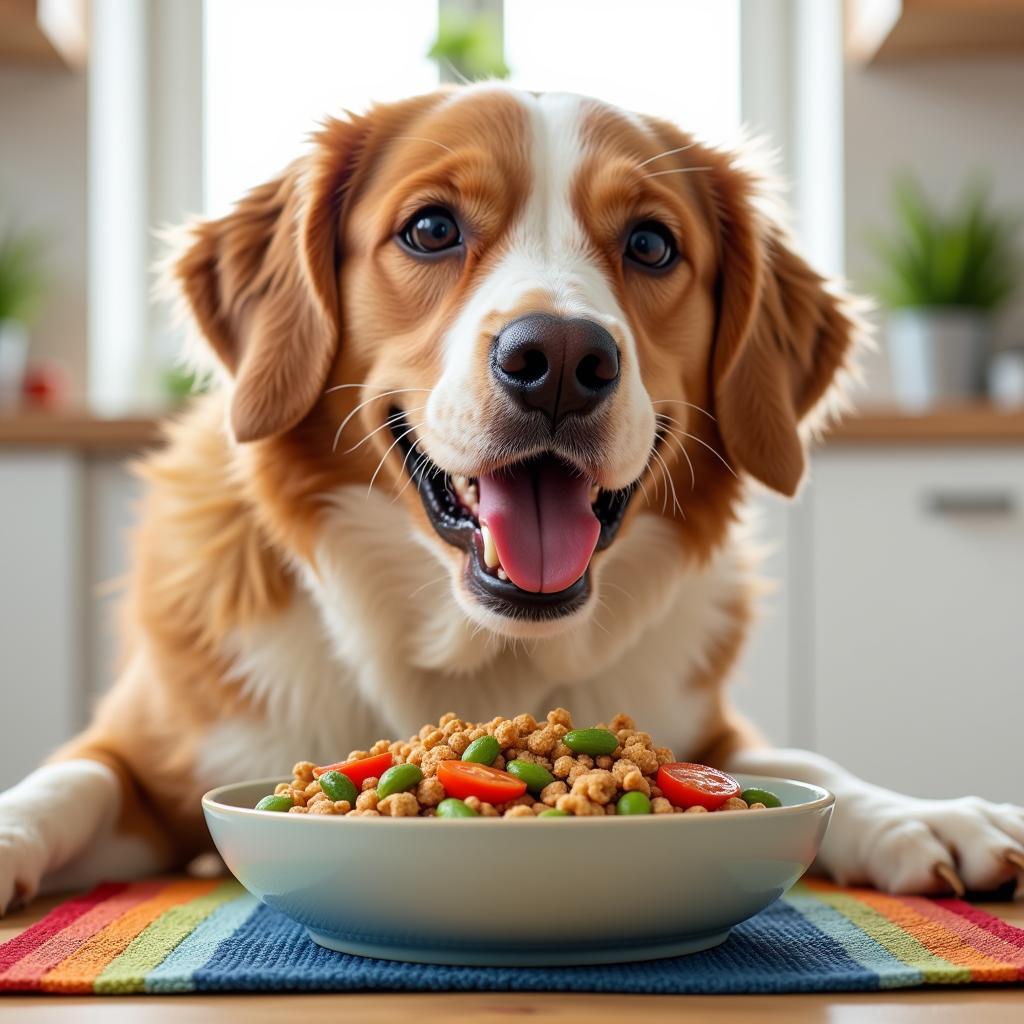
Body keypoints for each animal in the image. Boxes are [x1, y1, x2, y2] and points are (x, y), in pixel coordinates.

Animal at [2, 83, 1024, 909]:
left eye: (651, 244)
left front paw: (924, 816)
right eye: (430, 229)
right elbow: (68, 784)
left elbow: (801, 759)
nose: (562, 360)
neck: (469, 652)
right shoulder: (143, 756)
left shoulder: (699, 725)